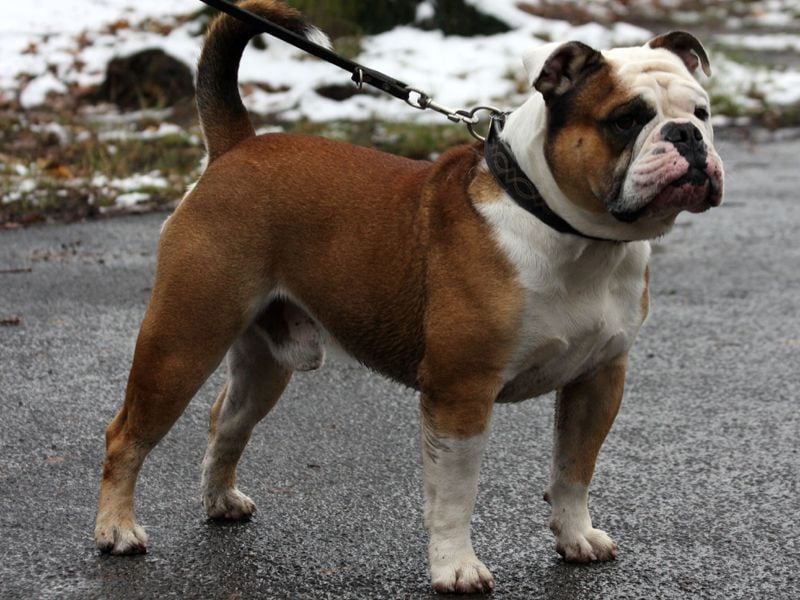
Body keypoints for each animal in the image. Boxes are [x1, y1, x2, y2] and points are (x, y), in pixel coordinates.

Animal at [94, 0, 724, 593]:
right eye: (625, 120)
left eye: (702, 112)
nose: (688, 136)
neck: (564, 228)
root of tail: (234, 149)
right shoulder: (460, 393)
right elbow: (454, 495)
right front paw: (455, 568)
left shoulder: (598, 381)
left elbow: (573, 470)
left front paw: (575, 537)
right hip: (182, 340)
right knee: (128, 433)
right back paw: (117, 529)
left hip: (266, 361)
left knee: (227, 421)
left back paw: (220, 500)